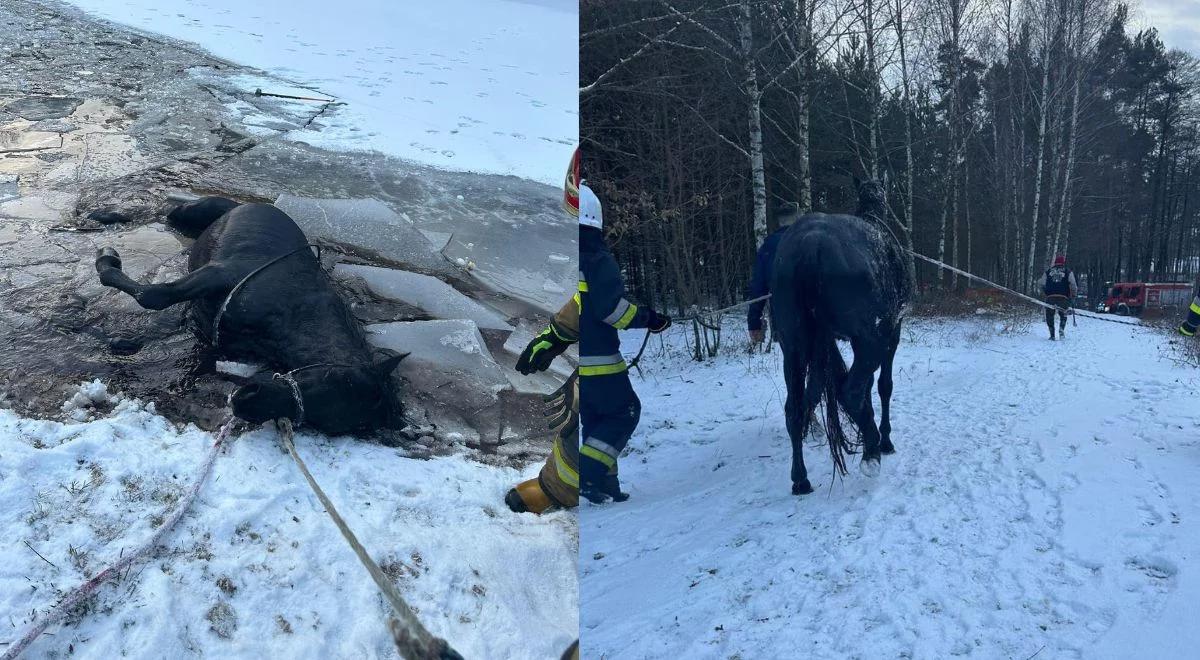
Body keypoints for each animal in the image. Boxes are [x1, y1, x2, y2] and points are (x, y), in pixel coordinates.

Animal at [93, 198, 403, 434]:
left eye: (329, 422)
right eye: (332, 379)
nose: (245, 400)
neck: (294, 310)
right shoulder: (216, 274)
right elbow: (154, 296)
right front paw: (106, 261)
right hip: (191, 213)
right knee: (163, 213)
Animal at [772, 181, 912, 496]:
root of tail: (810, 244)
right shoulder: (891, 335)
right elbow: (882, 386)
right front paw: (885, 440)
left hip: (795, 348)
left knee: (795, 407)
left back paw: (800, 478)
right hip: (870, 342)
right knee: (850, 390)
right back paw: (871, 449)